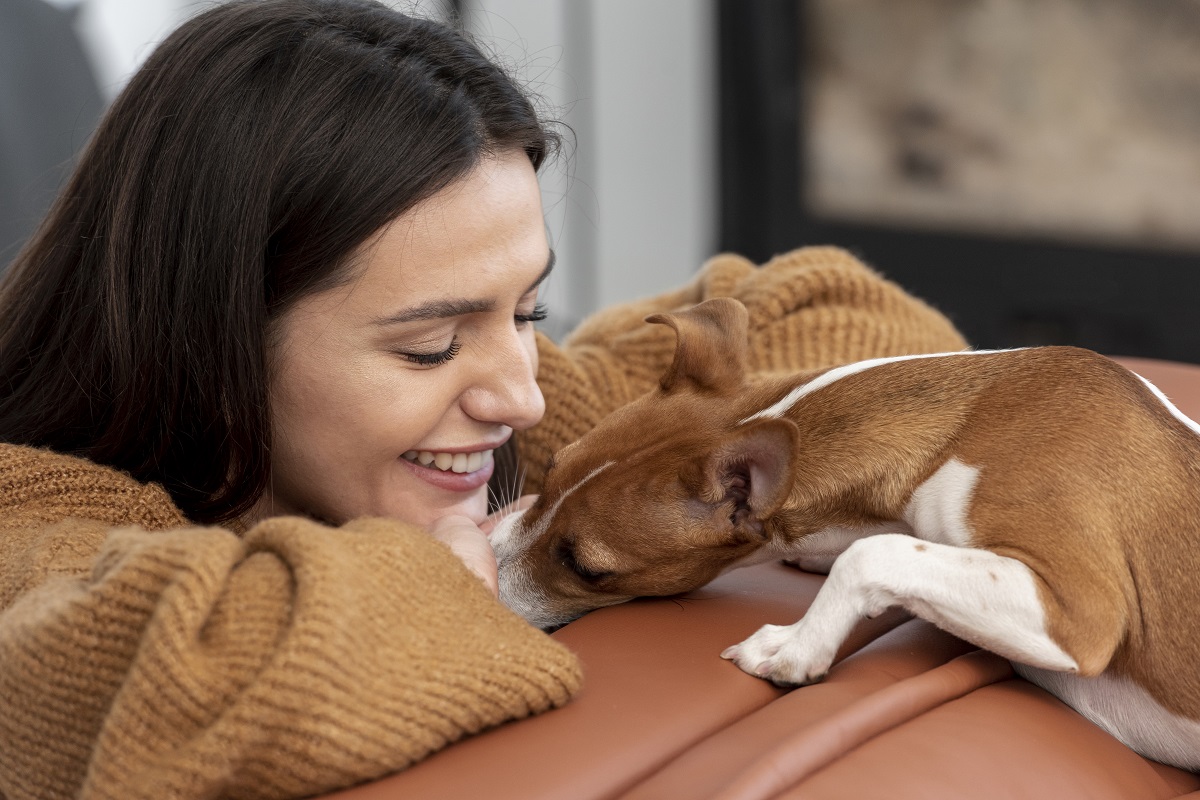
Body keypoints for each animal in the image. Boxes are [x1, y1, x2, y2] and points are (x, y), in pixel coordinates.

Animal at [489, 297, 1200, 772]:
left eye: (586, 568)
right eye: (549, 475)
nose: (478, 570)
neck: (964, 422)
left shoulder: (1080, 612)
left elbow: (870, 552)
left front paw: (797, 643)